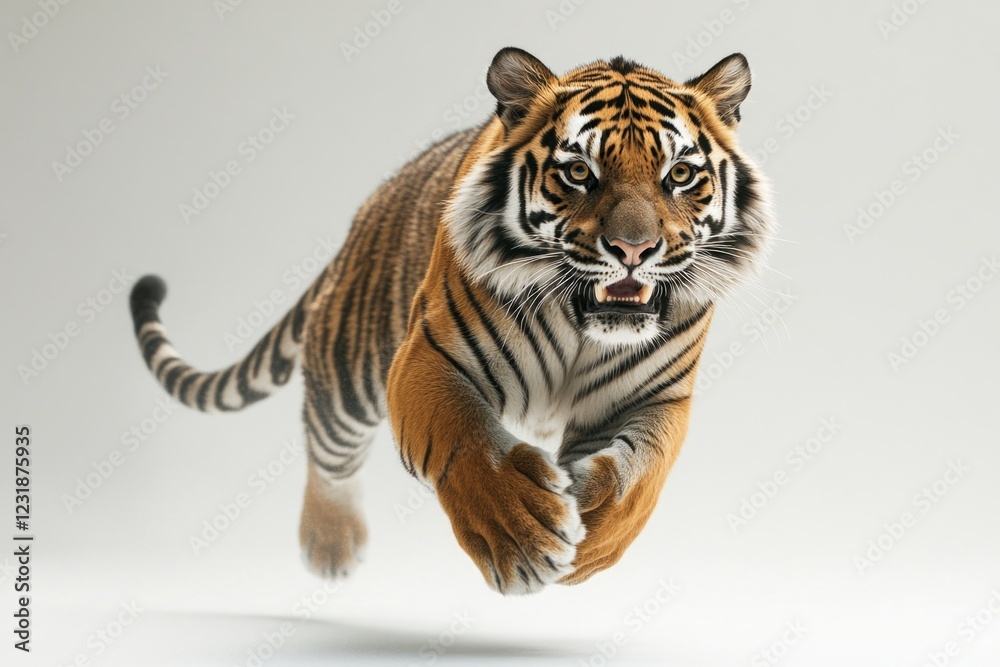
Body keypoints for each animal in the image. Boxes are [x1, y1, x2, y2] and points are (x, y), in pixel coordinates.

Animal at [129, 47, 774, 595]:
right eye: (578, 172)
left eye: (680, 175)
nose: (633, 249)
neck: (581, 325)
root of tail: (364, 214)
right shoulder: (429, 358)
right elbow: (468, 442)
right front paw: (522, 538)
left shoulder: (657, 398)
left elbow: (636, 478)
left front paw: (590, 538)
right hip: (349, 377)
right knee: (326, 450)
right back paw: (330, 546)